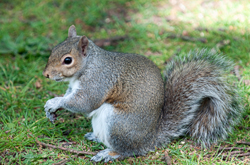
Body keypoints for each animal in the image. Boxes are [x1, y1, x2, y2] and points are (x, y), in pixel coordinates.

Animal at [43, 25, 242, 162]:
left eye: (67, 60)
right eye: (53, 49)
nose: (46, 74)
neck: (88, 65)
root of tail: (149, 140)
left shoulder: (98, 80)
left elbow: (84, 102)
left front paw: (55, 102)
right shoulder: (74, 87)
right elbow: (70, 96)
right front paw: (51, 107)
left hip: (118, 124)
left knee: (128, 151)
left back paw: (109, 153)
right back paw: (95, 137)